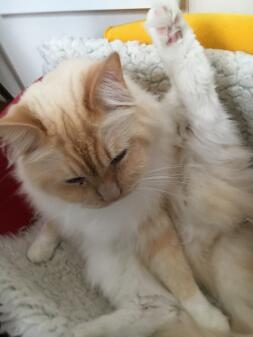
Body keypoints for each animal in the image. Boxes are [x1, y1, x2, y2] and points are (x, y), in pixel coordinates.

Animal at [0, 0, 253, 336]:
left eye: (118, 158)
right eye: (75, 180)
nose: (111, 196)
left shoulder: (154, 226)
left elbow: (183, 283)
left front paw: (210, 317)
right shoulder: (54, 203)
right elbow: (52, 223)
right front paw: (40, 250)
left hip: (206, 142)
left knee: (197, 87)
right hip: (130, 282)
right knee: (156, 309)